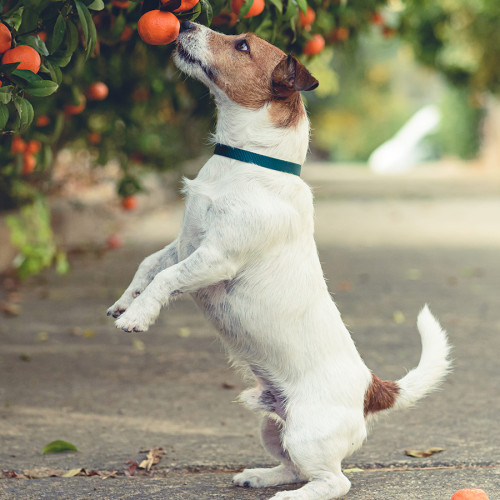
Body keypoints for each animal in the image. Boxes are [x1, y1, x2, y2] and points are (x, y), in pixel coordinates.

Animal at [107, 21, 452, 498]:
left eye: (242, 45)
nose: (187, 22)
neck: (247, 162)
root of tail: (370, 388)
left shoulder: (214, 258)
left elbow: (167, 279)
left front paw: (138, 317)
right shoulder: (184, 244)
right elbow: (148, 266)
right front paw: (126, 302)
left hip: (307, 433)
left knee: (333, 481)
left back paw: (291, 496)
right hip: (274, 427)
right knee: (293, 466)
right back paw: (261, 476)